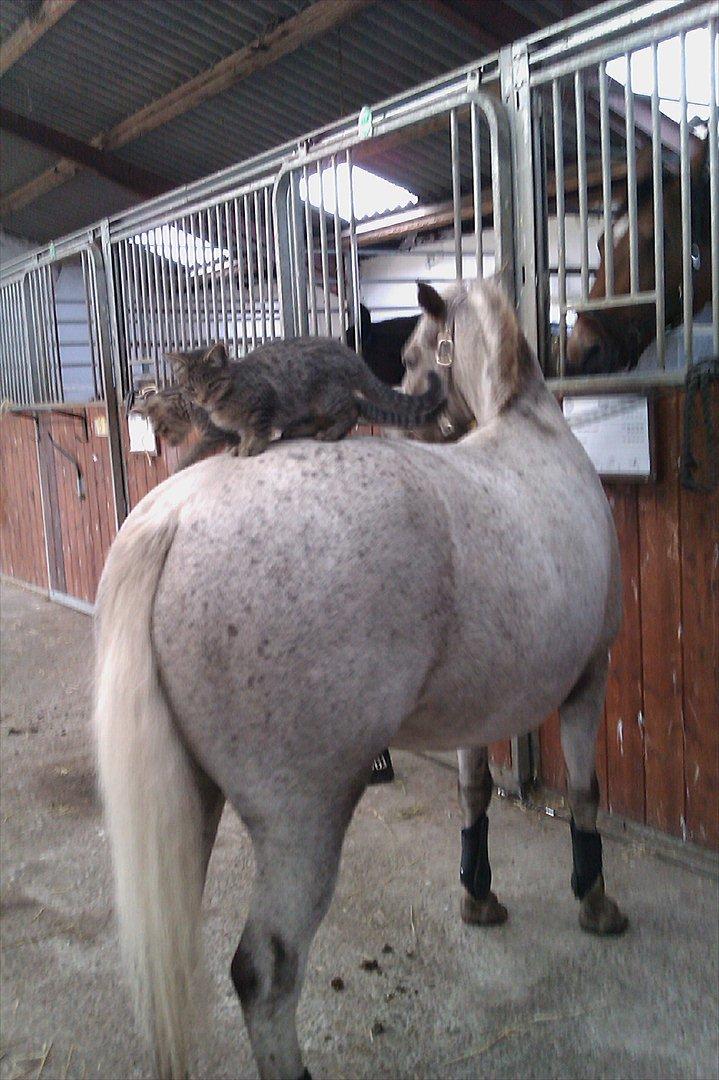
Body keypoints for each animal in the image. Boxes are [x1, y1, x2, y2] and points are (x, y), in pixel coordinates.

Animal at [94, 278, 627, 1080]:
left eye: (408, 354)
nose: (424, 417)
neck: (529, 432)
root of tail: (175, 517)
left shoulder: (476, 713)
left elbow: (474, 793)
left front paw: (479, 897)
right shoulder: (589, 680)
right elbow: (587, 798)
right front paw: (595, 904)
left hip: (187, 803)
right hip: (304, 819)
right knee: (263, 969)